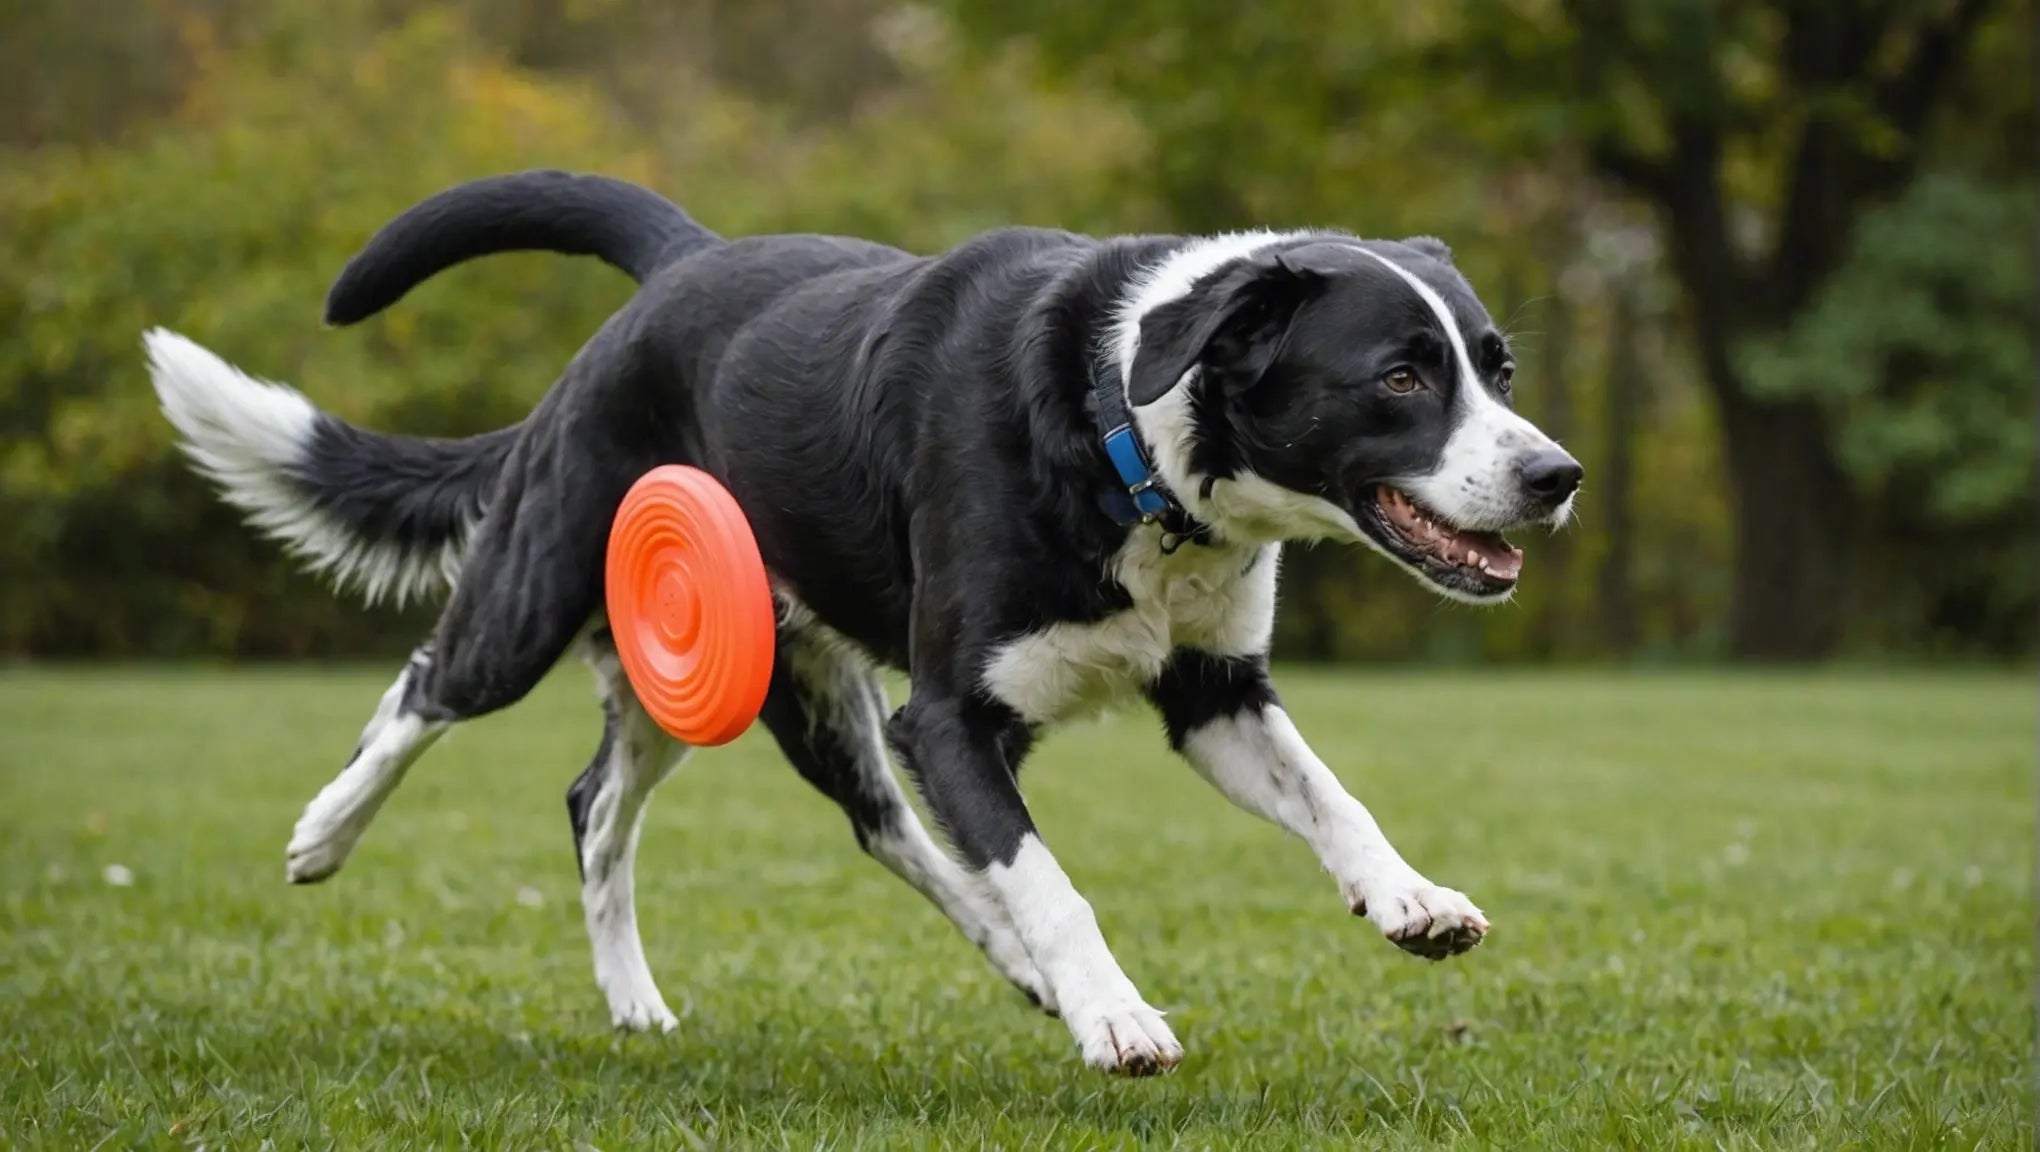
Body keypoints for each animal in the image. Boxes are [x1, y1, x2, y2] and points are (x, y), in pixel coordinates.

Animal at [147, 166, 1574, 1076]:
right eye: (1401, 378)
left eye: (1498, 367)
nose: (1554, 475)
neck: (1126, 427)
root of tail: (682, 263)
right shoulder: (949, 714)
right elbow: (1051, 882)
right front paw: (1114, 1017)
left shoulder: (1213, 691)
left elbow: (1332, 796)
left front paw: (1412, 898)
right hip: (548, 583)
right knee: (433, 687)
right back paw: (325, 834)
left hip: (779, 680)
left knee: (639, 807)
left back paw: (656, 1000)